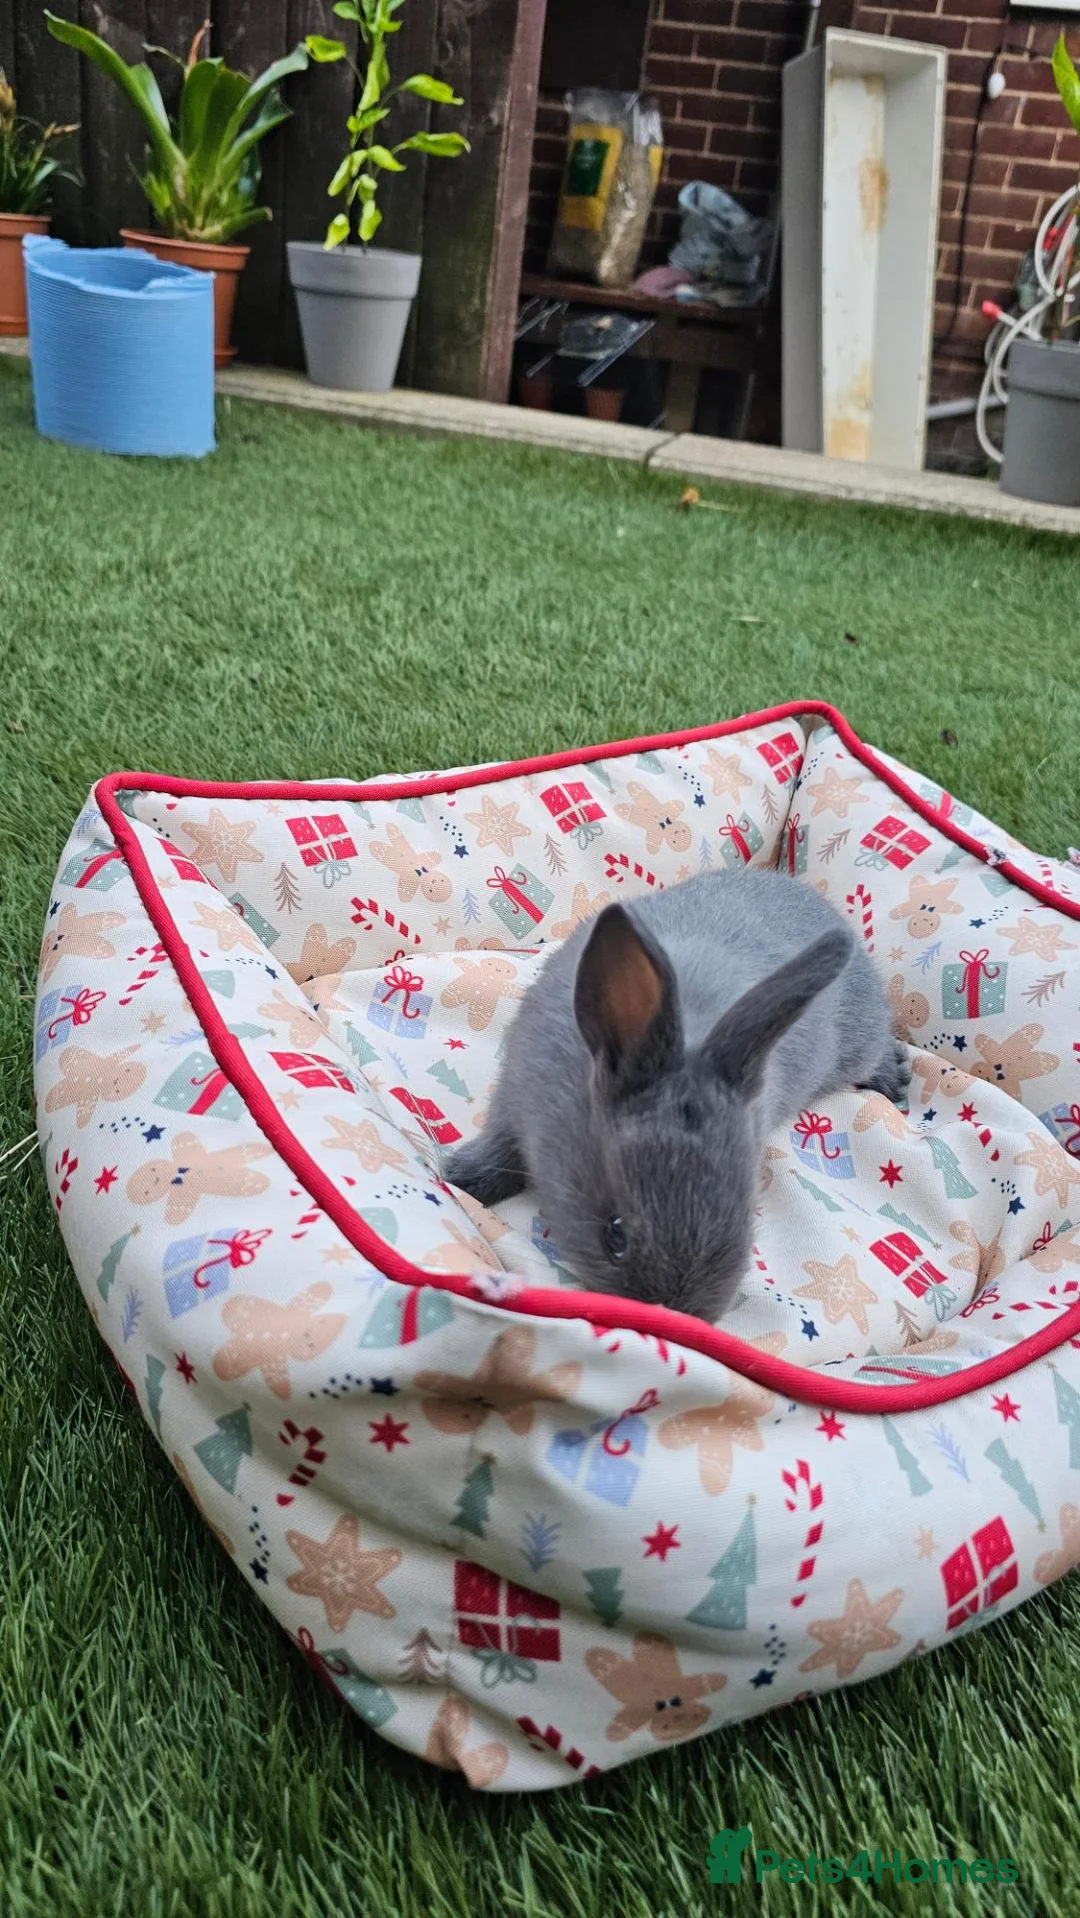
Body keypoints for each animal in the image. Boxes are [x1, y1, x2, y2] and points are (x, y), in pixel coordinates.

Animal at [443, 869, 906, 1325]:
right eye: (614, 1232)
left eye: (747, 1215)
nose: (676, 1315)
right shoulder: (512, 1097)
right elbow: (499, 1148)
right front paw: (460, 1179)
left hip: (857, 1048)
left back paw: (894, 1080)